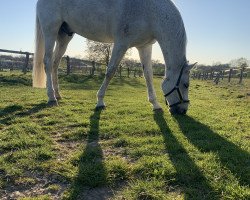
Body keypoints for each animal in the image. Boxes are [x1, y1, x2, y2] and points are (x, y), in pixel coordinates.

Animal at [32, 0, 195, 114]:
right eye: (186, 85)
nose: (183, 111)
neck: (150, 10)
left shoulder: (144, 47)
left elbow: (148, 75)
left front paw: (155, 104)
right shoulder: (121, 43)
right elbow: (110, 71)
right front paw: (100, 102)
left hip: (64, 36)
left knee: (55, 63)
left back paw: (58, 94)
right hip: (50, 31)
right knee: (47, 62)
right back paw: (51, 98)